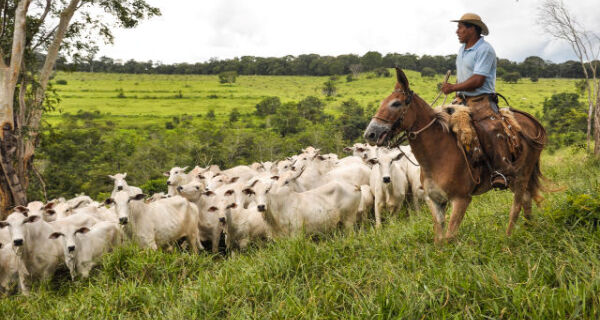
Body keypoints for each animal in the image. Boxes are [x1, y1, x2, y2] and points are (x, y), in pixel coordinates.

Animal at [364, 67, 548, 242]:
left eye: (396, 103)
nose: (370, 133)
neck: (438, 154)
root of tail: (529, 120)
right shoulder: (435, 200)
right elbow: (439, 239)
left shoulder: (461, 200)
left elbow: (450, 237)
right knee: (526, 200)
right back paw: (529, 229)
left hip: (522, 175)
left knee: (517, 205)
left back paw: (508, 238)